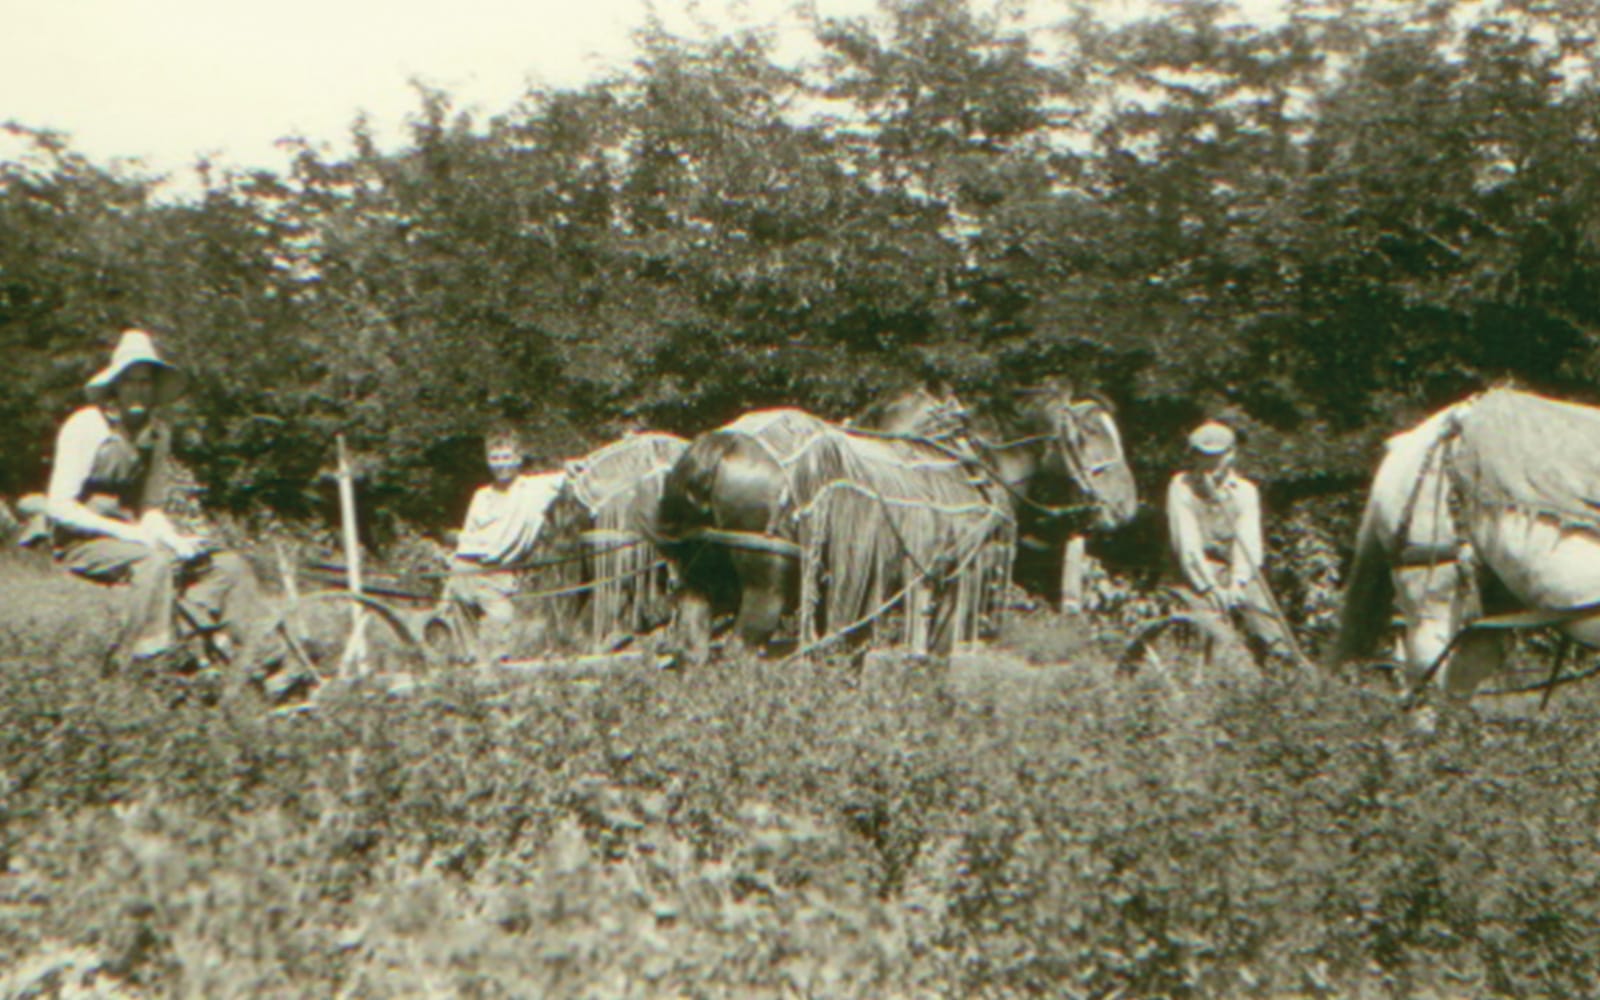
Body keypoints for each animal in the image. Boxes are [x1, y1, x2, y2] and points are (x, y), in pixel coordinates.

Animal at [659, 384, 1139, 662]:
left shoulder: (866, 585)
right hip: (766, 583)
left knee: (692, 653)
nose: (1127, 506)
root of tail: (721, 446)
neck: (970, 465)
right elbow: (937, 660)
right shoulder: (960, 577)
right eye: (1087, 435)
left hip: (702, 578)